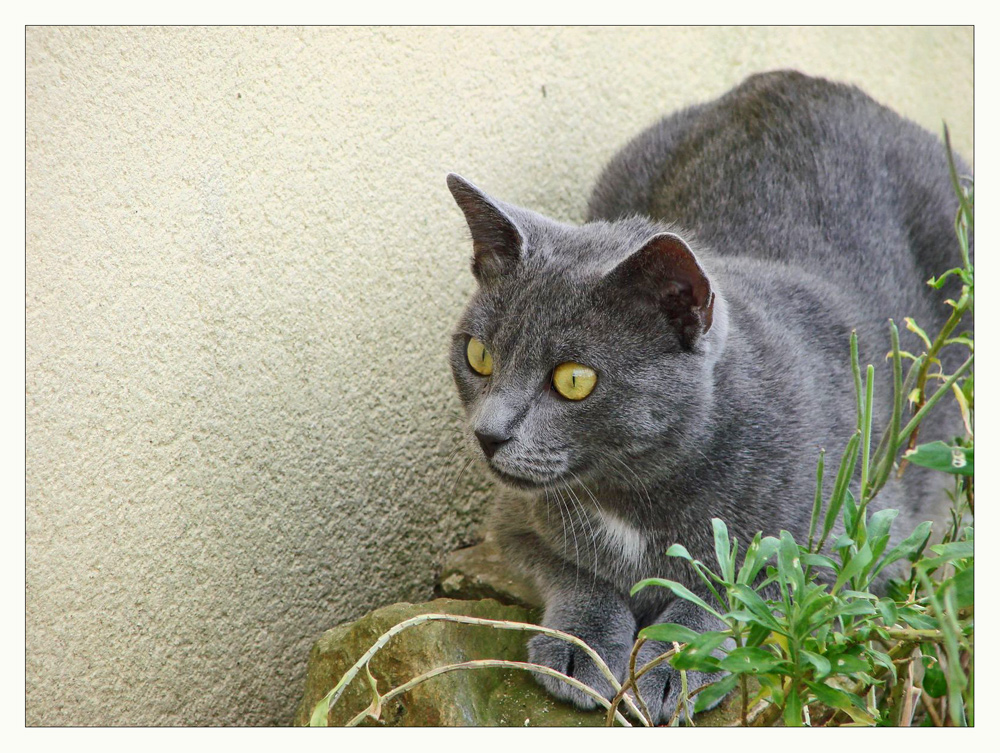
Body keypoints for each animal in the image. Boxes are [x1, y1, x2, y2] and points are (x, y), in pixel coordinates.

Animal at [446, 72, 968, 724]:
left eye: (573, 379)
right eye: (478, 356)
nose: (487, 434)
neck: (633, 498)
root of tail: (793, 80)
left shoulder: (862, 547)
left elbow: (732, 589)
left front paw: (673, 662)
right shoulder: (513, 521)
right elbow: (575, 573)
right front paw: (582, 649)